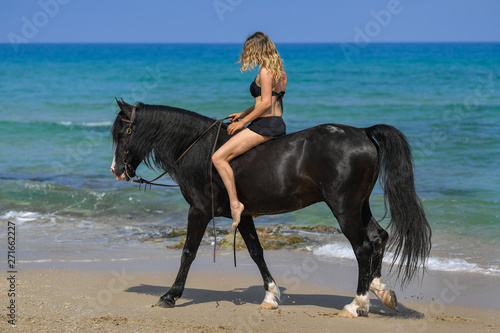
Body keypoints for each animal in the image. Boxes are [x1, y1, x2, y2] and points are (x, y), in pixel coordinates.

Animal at [111, 100, 432, 316]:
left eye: (122, 133)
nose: (116, 170)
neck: (198, 150)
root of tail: (364, 132)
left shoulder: (199, 212)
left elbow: (188, 253)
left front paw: (171, 296)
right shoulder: (243, 215)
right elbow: (256, 252)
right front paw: (270, 295)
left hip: (344, 207)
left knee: (364, 247)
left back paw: (357, 303)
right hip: (358, 205)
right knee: (379, 237)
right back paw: (381, 291)